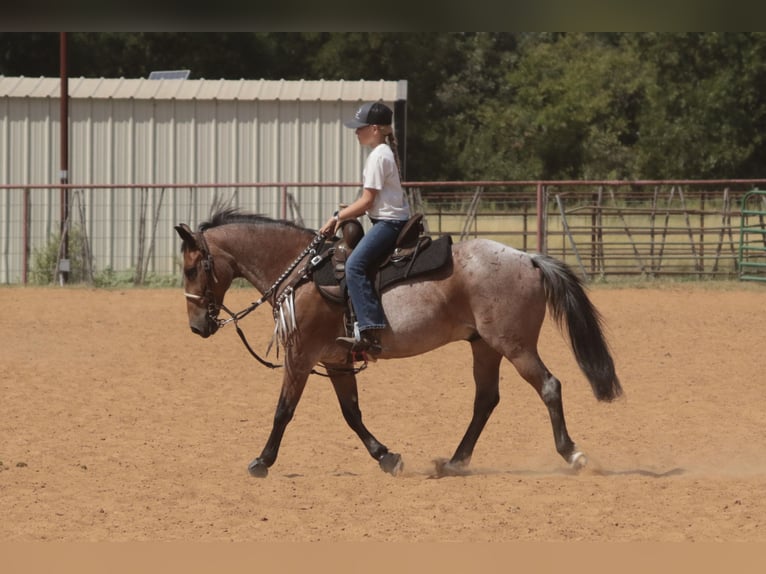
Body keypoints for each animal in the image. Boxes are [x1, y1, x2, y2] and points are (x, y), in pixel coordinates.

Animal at [175, 207, 622, 478]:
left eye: (193, 267)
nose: (196, 326)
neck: (304, 275)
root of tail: (528, 258)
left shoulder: (301, 357)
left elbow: (283, 411)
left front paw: (261, 462)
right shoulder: (337, 360)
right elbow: (352, 413)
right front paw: (386, 456)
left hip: (515, 346)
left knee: (548, 386)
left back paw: (572, 454)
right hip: (484, 346)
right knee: (486, 400)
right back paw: (455, 461)